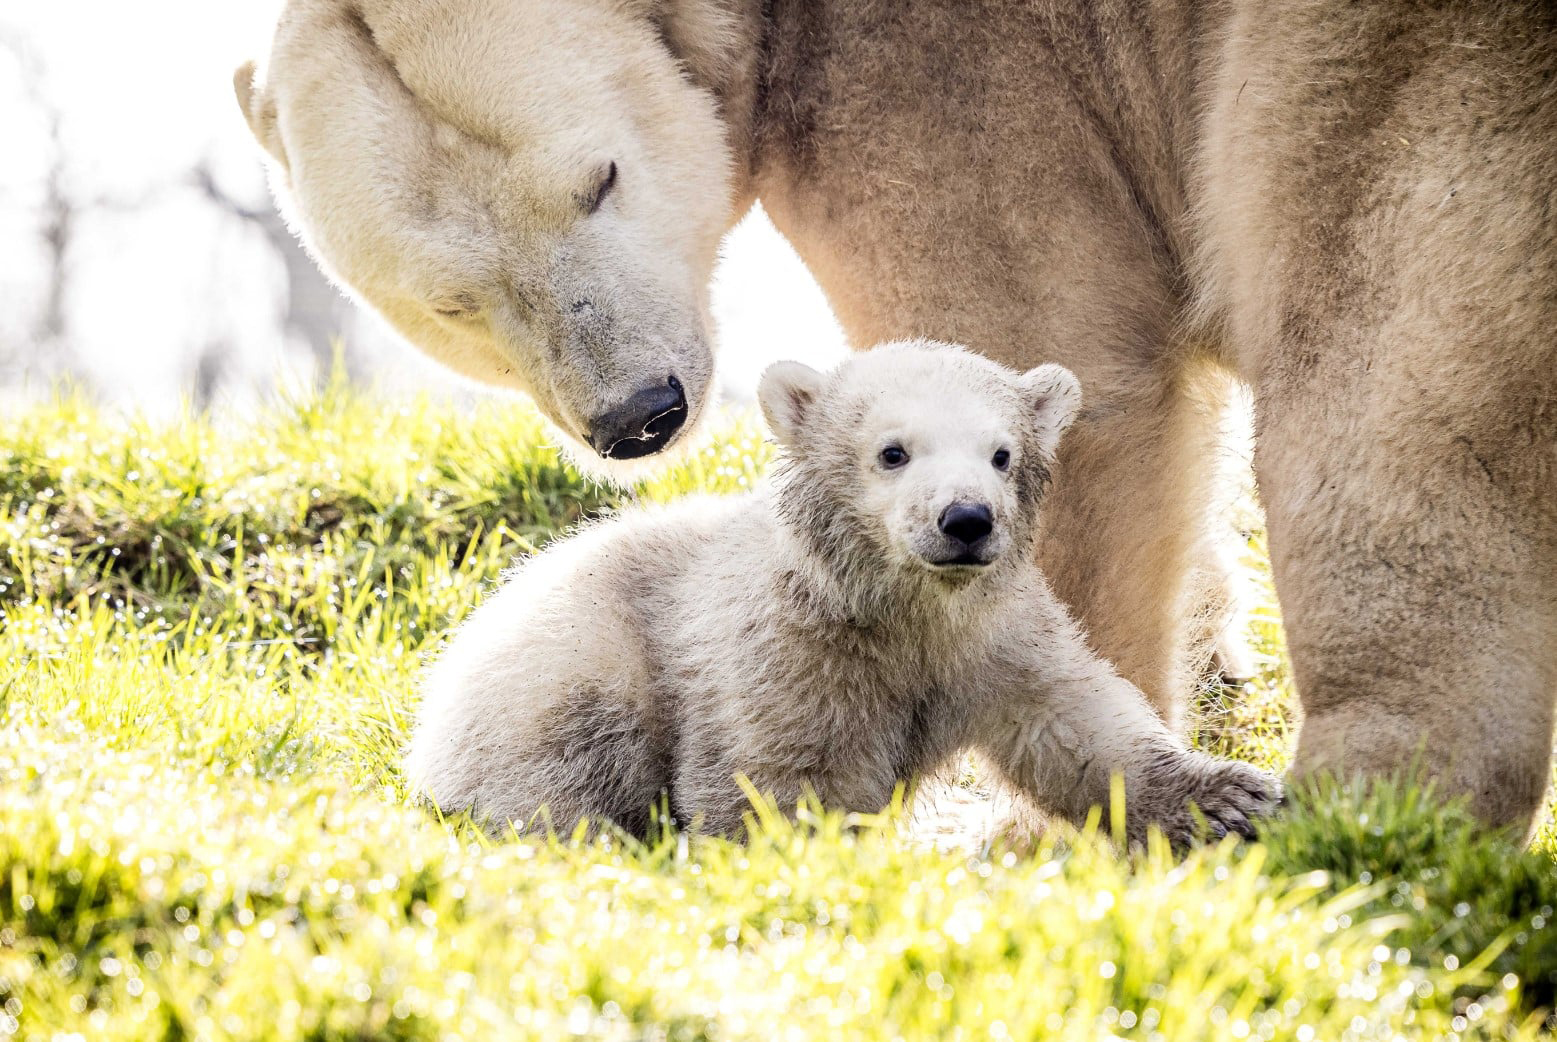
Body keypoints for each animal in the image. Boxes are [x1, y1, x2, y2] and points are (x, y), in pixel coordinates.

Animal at [233, 0, 1557, 828]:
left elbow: (1056, 352)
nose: (641, 414)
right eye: (451, 296)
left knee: (1383, 349)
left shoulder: (948, 79)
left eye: (598, 178)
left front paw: (1047, 821)